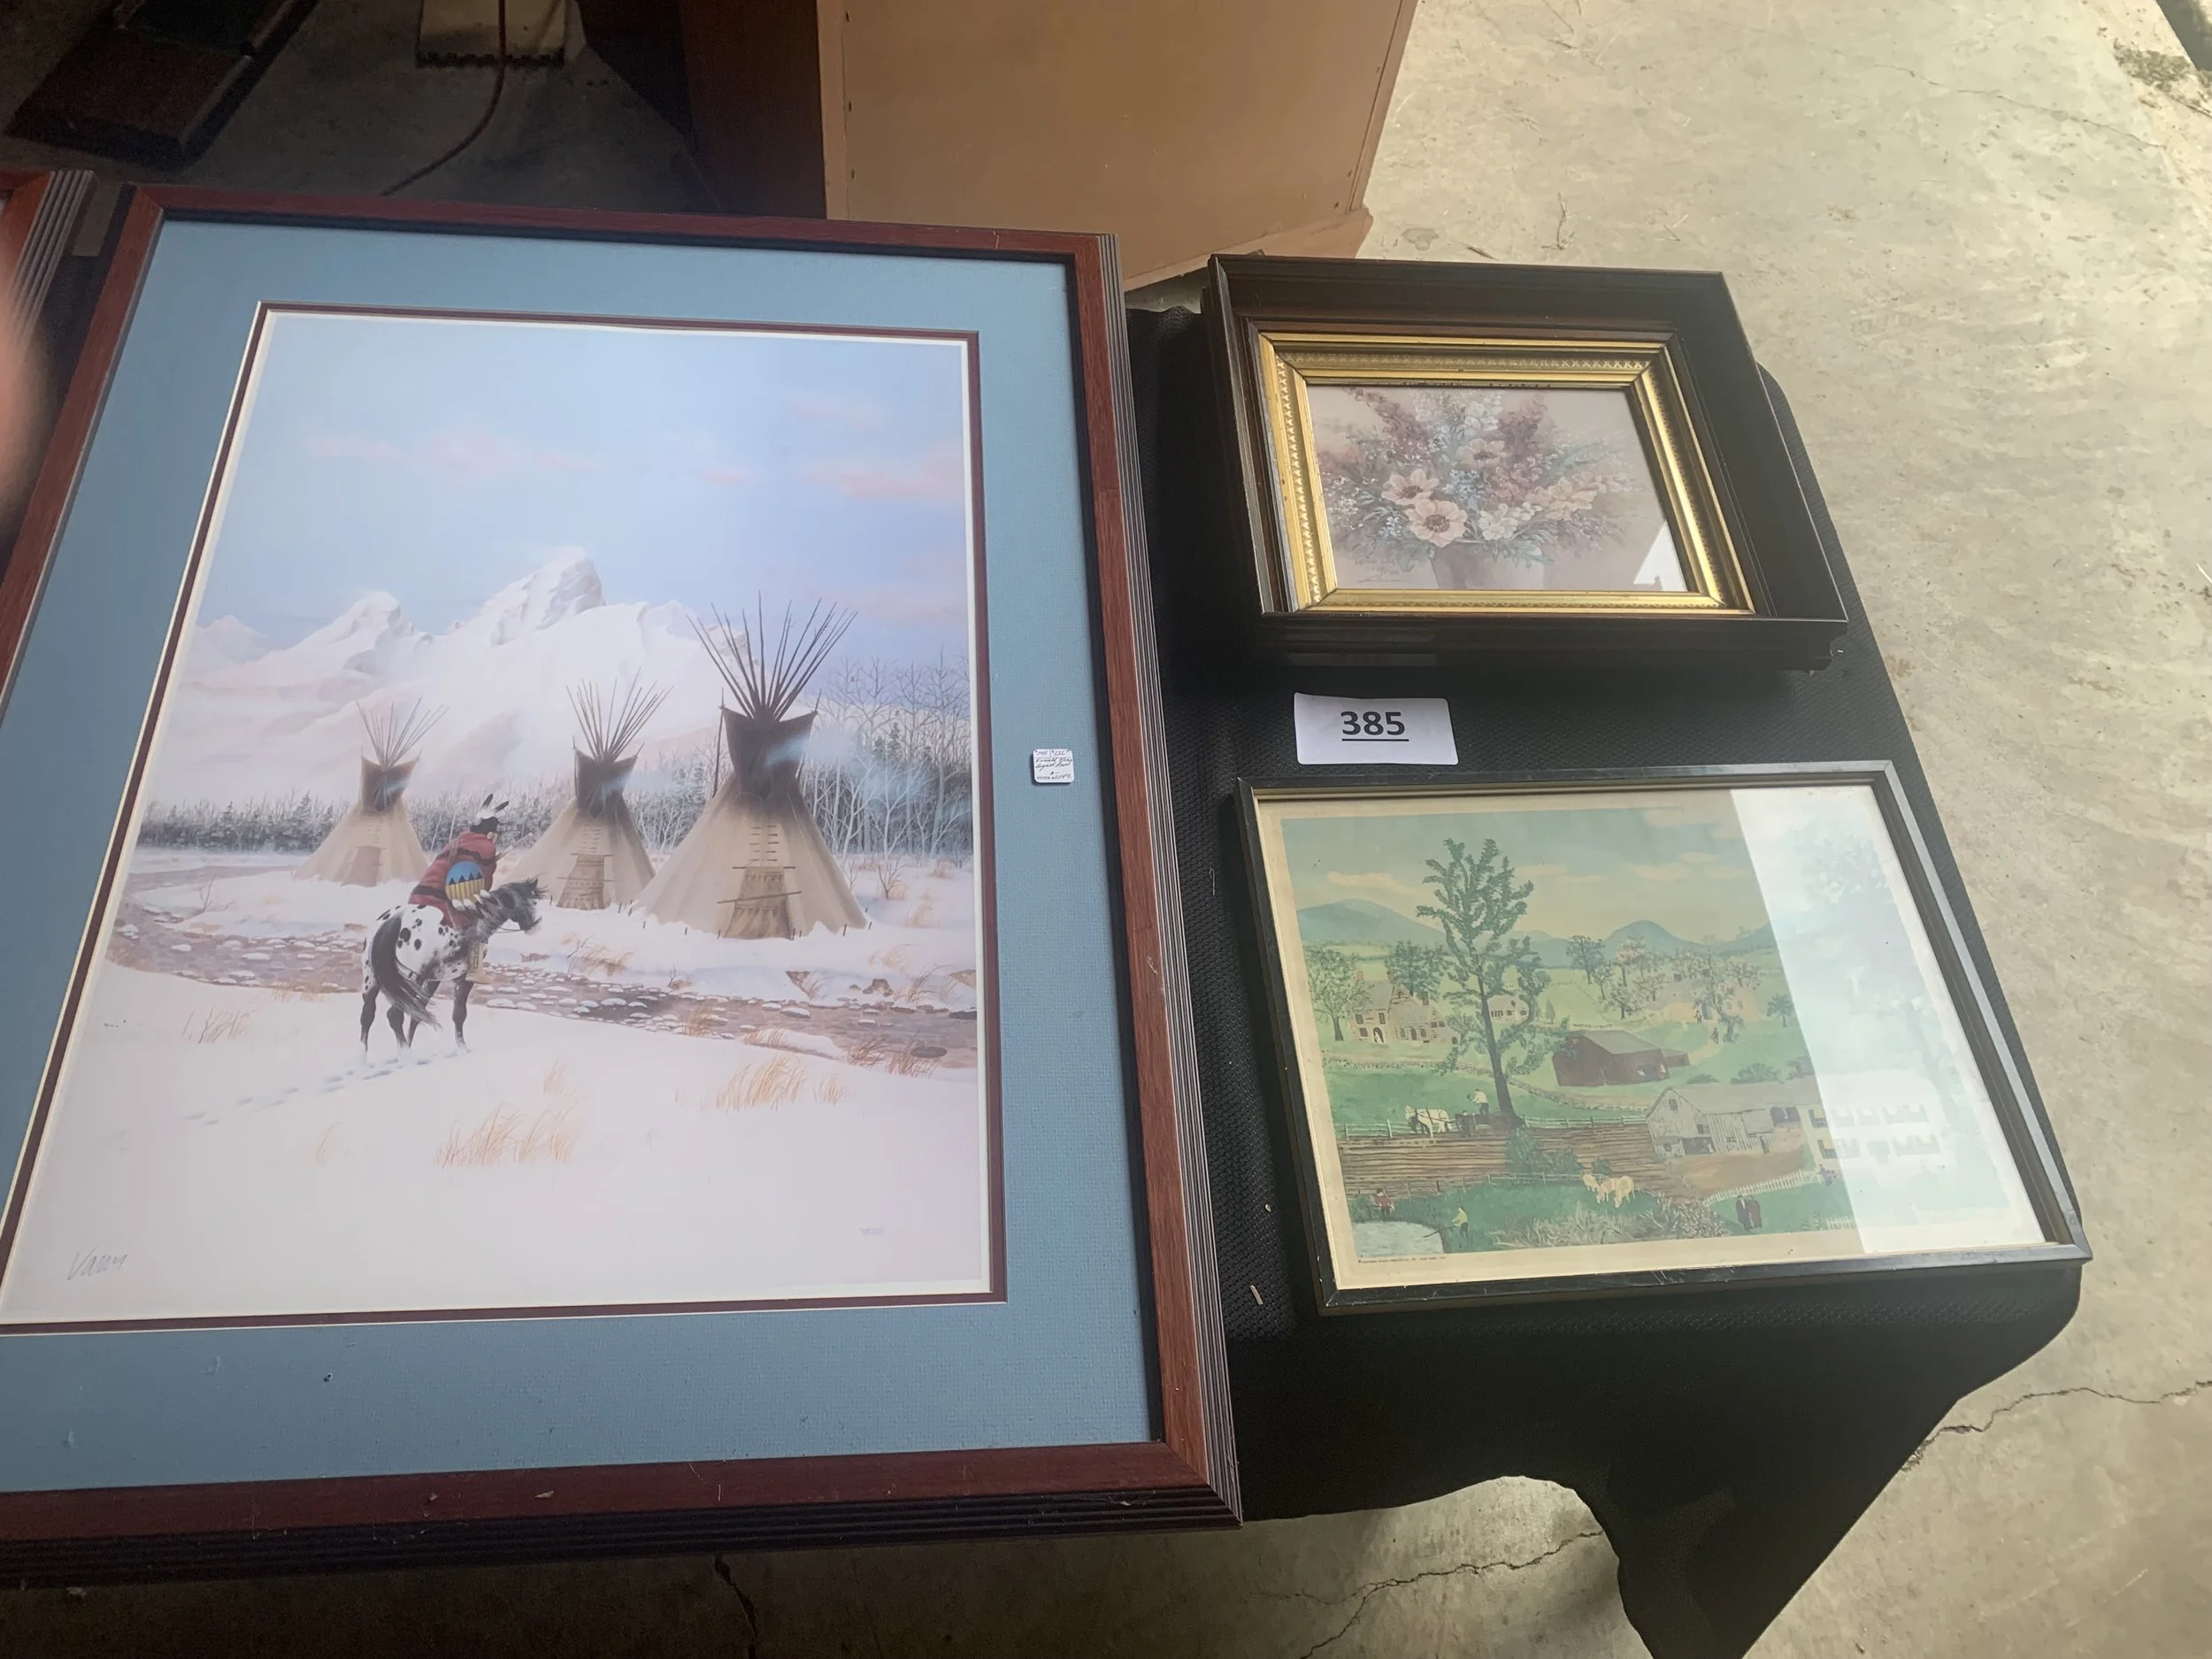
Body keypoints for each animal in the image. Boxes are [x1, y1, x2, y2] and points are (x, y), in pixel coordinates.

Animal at [359, 878, 544, 1056]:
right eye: (533, 902)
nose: (536, 926)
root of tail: (393, 920)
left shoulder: (433, 980)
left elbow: (418, 1014)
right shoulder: (464, 978)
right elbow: (459, 1014)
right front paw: (463, 1050)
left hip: (373, 980)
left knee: (368, 1015)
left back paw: (365, 1060)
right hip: (409, 979)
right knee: (394, 1014)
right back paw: (406, 1057)